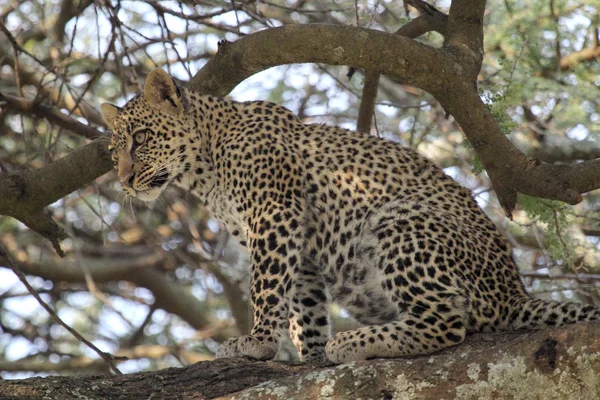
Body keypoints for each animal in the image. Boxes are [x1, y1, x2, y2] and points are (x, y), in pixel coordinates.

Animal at [101, 69, 596, 366]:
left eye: (141, 138)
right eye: (112, 150)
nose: (124, 180)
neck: (204, 169)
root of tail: (515, 291)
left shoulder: (274, 215)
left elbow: (266, 289)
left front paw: (257, 341)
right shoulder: (297, 242)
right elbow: (304, 307)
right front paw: (310, 355)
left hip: (396, 220)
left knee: (447, 320)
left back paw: (357, 342)